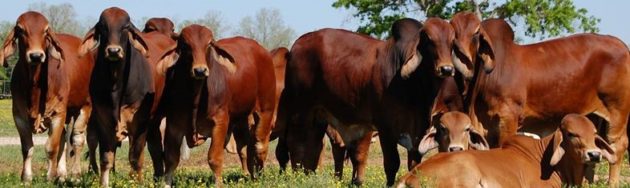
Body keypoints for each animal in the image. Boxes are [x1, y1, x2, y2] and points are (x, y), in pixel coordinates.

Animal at [77, 7, 175, 187]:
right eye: (103, 27)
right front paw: (104, 182)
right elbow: (106, 158)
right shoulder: (103, 120)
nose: (114, 51)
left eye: (125, 27)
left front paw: (136, 181)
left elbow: (135, 158)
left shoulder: (140, 122)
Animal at [157, 24, 278, 187]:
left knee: (260, 146)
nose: (200, 70)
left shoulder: (220, 122)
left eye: (209, 44)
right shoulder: (174, 123)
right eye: (185, 45)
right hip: (241, 118)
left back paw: (258, 177)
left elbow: (214, 158)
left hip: (266, 110)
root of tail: (262, 51)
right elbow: (171, 158)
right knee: (246, 148)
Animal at [278, 17, 462, 185]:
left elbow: (414, 165)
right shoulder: (386, 128)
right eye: (429, 39)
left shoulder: (417, 133)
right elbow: (392, 164)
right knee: (296, 143)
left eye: (452, 41)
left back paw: (307, 176)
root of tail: (296, 45)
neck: (415, 87)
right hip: (300, 110)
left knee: (313, 145)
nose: (446, 69)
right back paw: (297, 177)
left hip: (319, 115)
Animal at [452, 11, 630, 187]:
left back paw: (612, 183)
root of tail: (622, 45)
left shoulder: (508, 118)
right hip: (593, 115)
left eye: (476, 32)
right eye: (453, 29)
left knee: (617, 146)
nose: (462, 57)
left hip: (617, 112)